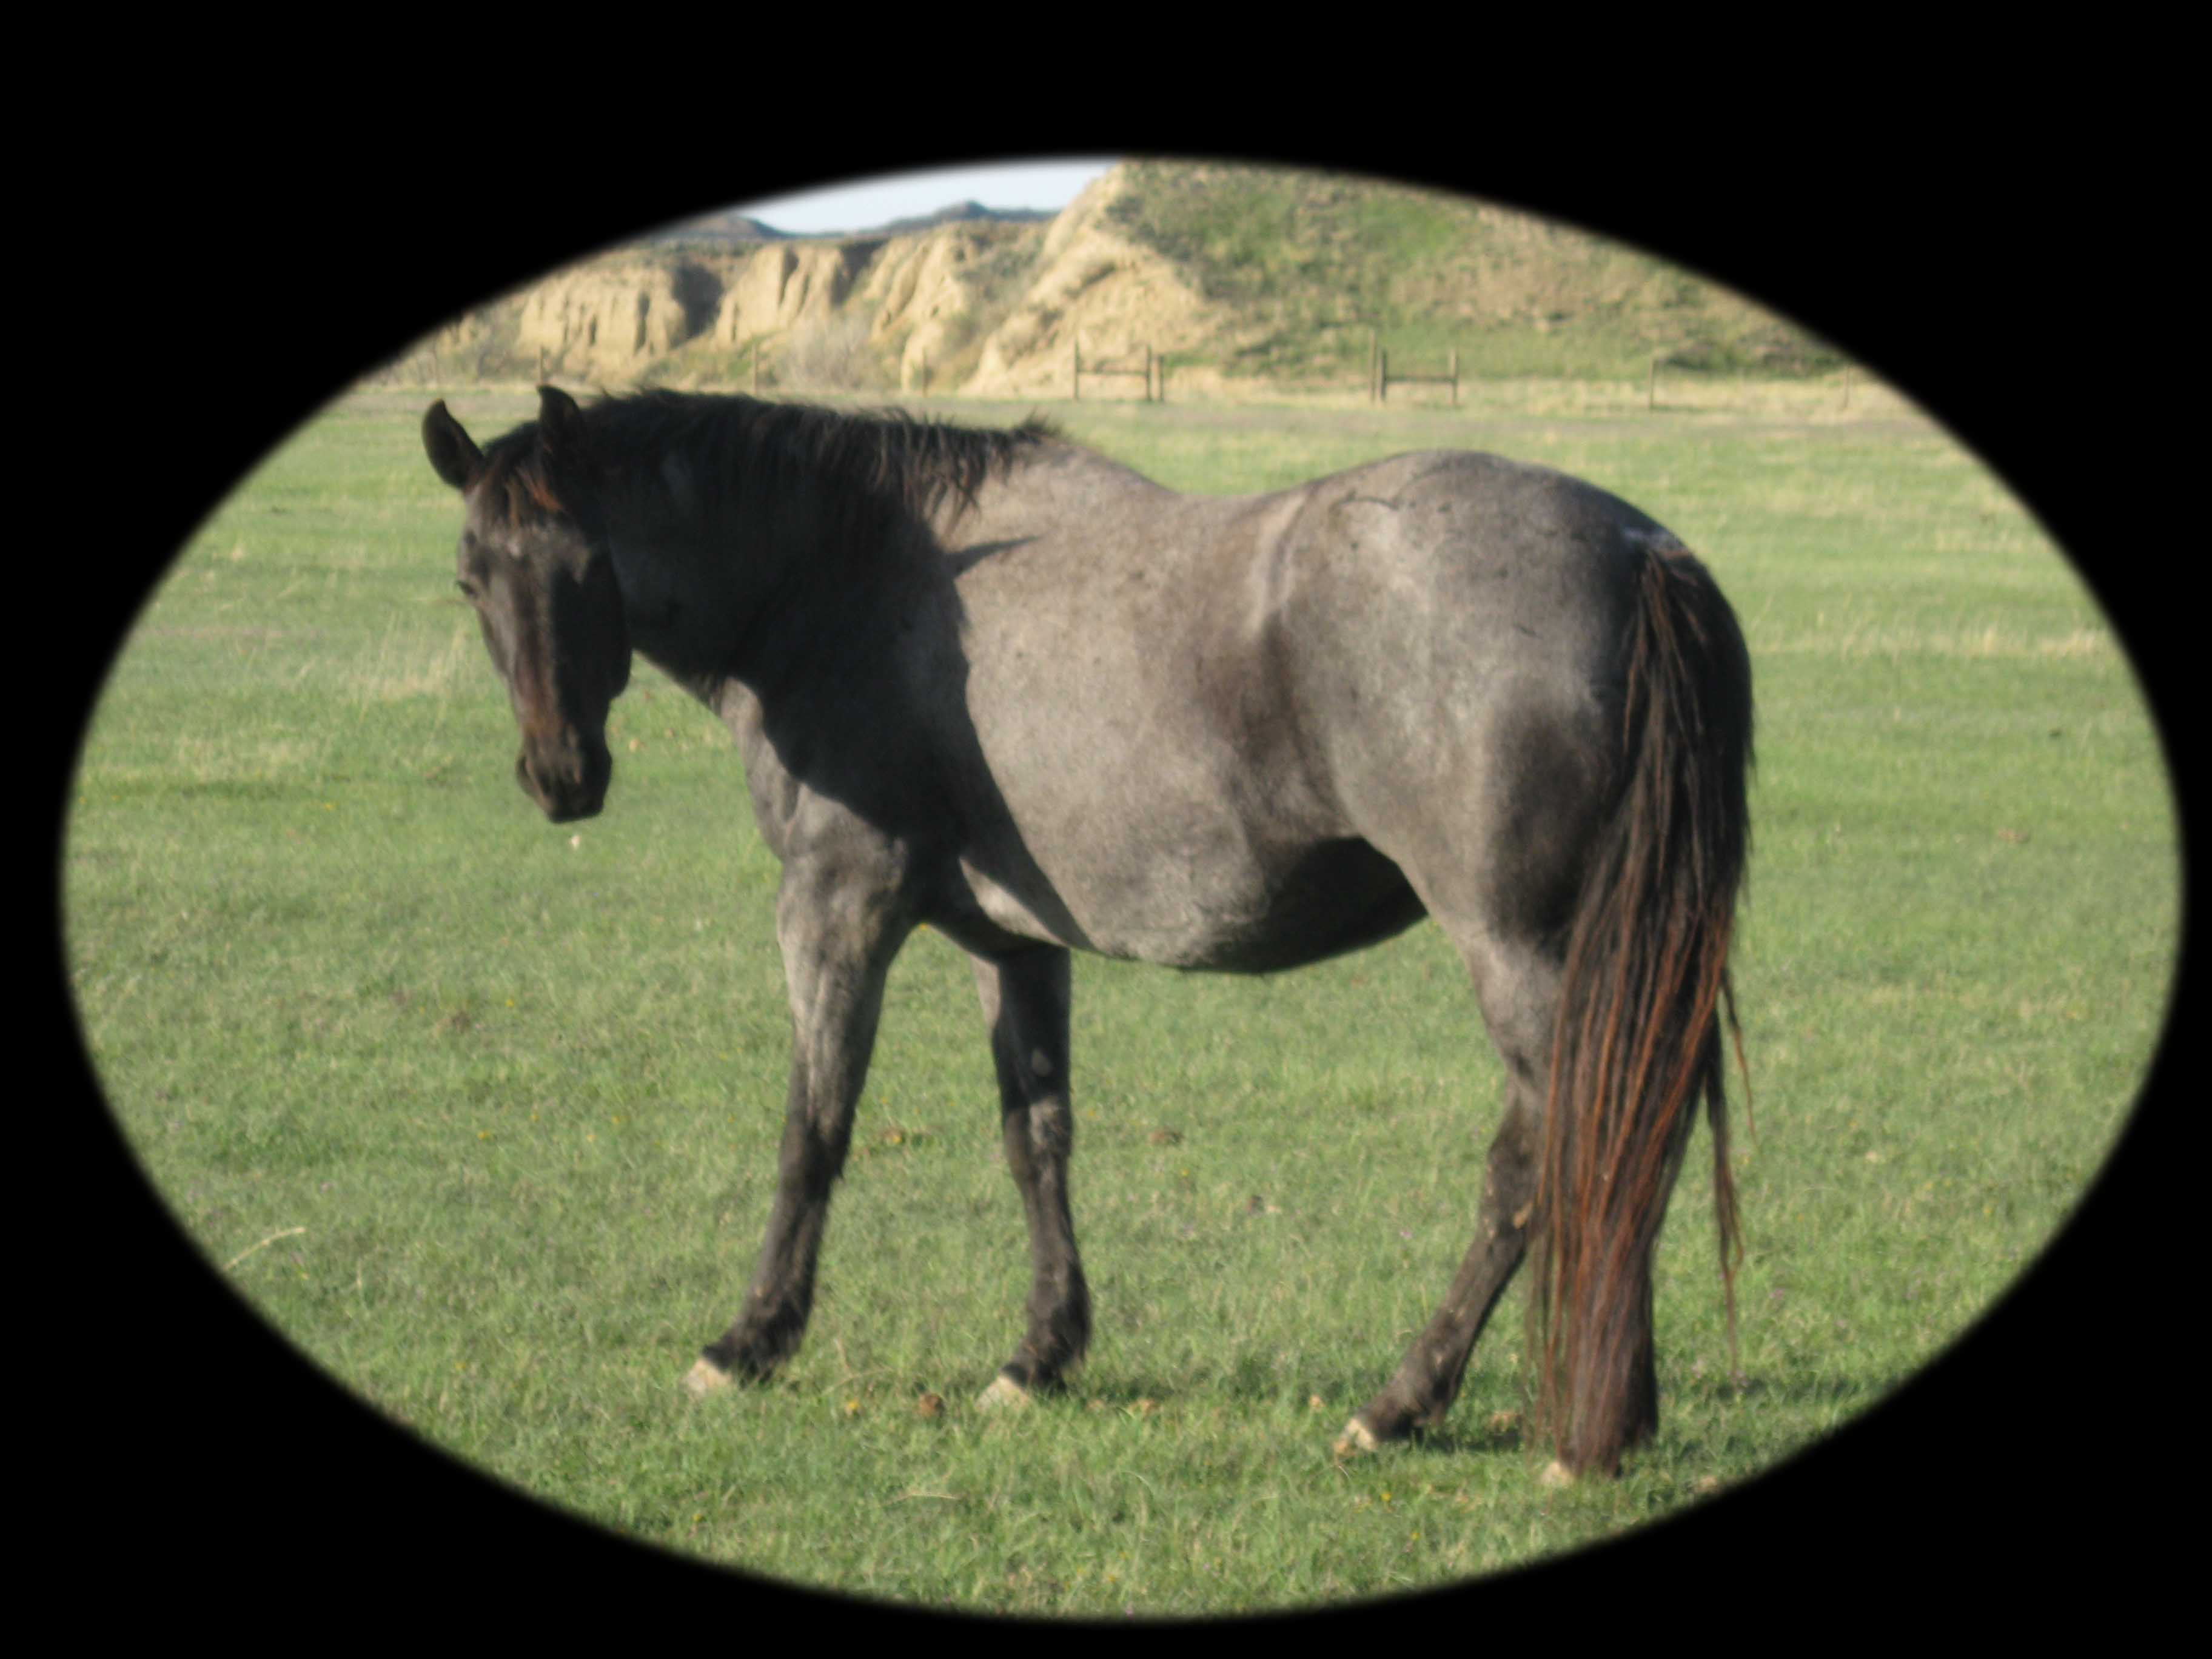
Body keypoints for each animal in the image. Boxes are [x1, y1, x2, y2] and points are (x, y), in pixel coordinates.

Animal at [421, 385, 1752, 1478]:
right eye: (473, 578)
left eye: (588, 565)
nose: (560, 776)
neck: (851, 576)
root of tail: (1640, 551)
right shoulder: (1010, 941)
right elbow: (1036, 1138)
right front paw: (1039, 1355)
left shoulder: (836, 908)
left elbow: (814, 1130)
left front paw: (749, 1341)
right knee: (1629, 1138)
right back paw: (1609, 1418)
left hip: (1518, 953)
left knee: (1546, 1157)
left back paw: (1424, 1409)